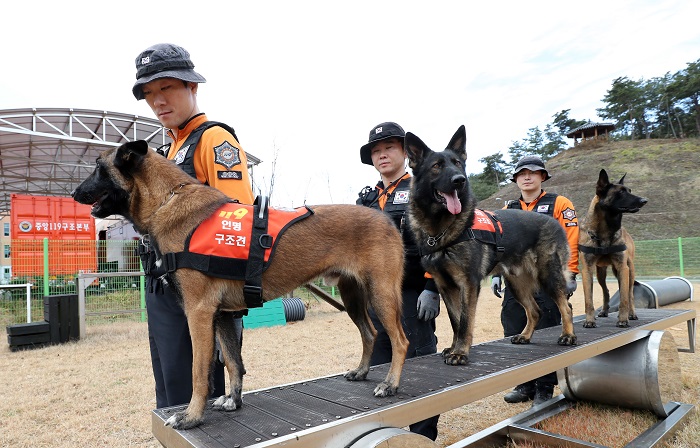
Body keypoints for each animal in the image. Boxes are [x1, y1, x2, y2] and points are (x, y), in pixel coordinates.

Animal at [71, 140, 410, 430]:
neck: (169, 201)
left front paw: (191, 416)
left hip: (382, 295)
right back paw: (362, 371)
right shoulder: (221, 315)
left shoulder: (199, 313)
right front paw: (233, 400)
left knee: (400, 340)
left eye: (98, 168)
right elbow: (234, 362)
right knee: (370, 333)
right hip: (353, 297)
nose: (73, 193)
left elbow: (198, 371)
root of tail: (385, 219)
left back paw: (390, 384)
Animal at [402, 124, 576, 366]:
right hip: (516, 284)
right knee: (535, 311)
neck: (442, 228)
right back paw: (525, 336)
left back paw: (568, 335)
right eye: (436, 166)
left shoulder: (468, 283)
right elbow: (456, 322)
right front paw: (454, 348)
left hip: (548, 276)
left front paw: (460, 353)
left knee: (565, 306)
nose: (460, 180)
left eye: (458, 163)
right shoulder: (446, 287)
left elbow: (465, 321)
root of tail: (554, 222)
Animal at [576, 168, 648, 326]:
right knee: (606, 291)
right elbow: (588, 300)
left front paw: (623, 319)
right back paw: (604, 311)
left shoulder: (622, 267)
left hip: (629, 270)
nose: (644, 200)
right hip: (601, 272)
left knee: (629, 293)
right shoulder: (587, 269)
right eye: (620, 192)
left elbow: (624, 298)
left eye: (629, 190)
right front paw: (589, 320)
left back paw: (631, 314)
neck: (604, 233)